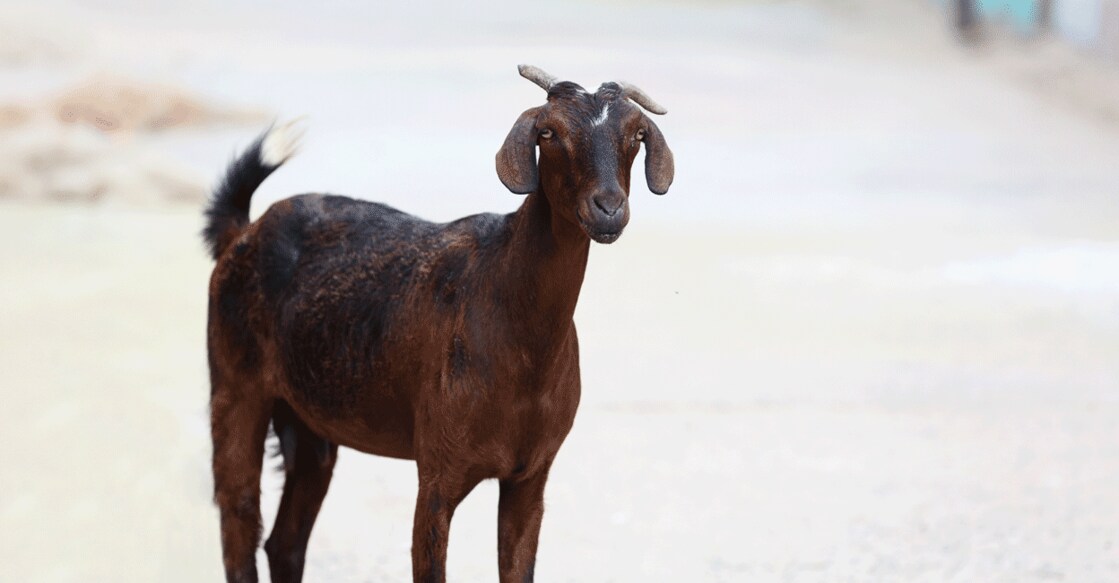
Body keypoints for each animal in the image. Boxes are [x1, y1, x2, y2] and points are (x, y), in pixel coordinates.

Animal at [203, 65, 674, 583]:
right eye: (549, 132)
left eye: (637, 134)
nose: (608, 208)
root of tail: (243, 232)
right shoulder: (437, 474)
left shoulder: (530, 476)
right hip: (235, 386)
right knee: (238, 515)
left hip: (309, 422)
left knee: (285, 541)